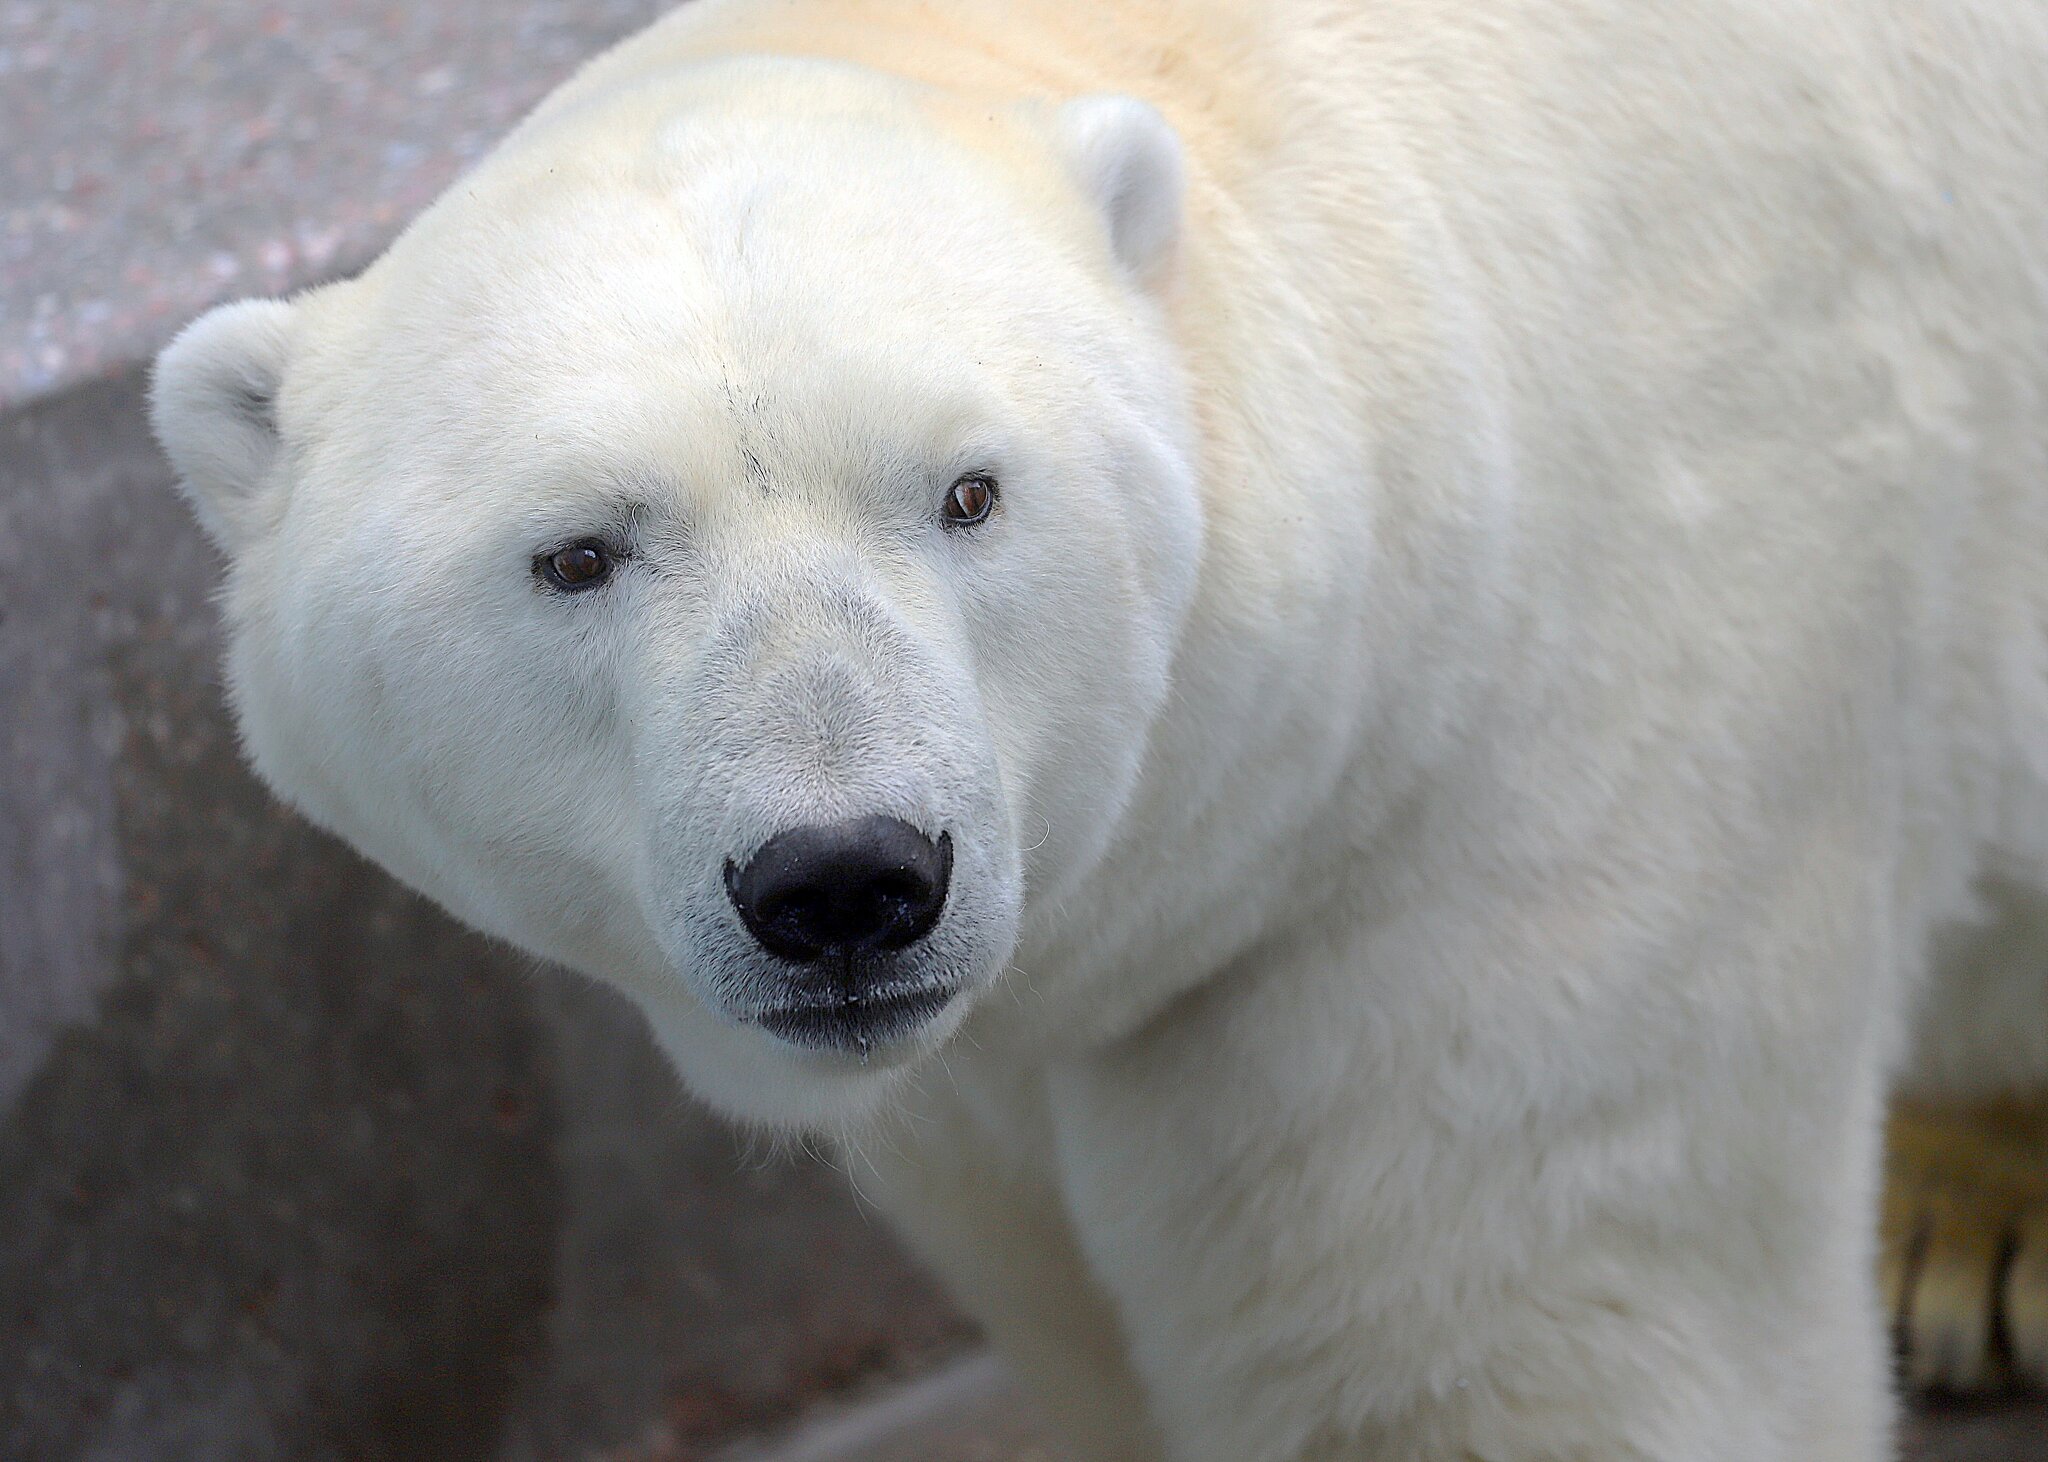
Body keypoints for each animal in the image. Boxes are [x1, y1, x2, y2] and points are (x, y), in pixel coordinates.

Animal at [150, 0, 2048, 1457]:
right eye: (576, 553)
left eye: (969, 489)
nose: (845, 879)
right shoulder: (1000, 1073)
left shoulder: (1508, 832)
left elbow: (1493, 1341)